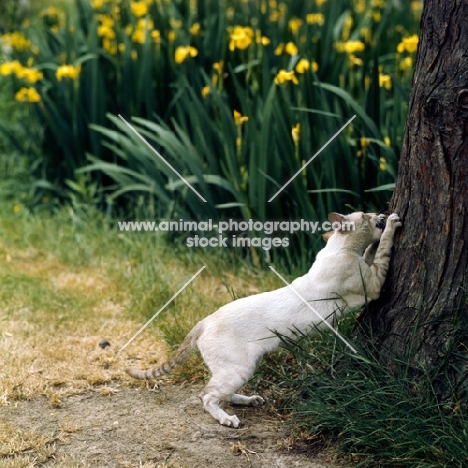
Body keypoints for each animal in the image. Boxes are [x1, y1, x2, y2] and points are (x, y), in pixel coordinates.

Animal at [125, 212, 402, 428]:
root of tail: (205, 319)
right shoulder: (373, 284)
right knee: (206, 395)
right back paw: (228, 419)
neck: (342, 248)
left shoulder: (369, 275)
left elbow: (373, 250)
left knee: (218, 392)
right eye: (365, 214)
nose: (379, 212)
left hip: (241, 367)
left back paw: (251, 400)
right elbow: (382, 248)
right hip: (239, 368)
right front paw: (392, 222)